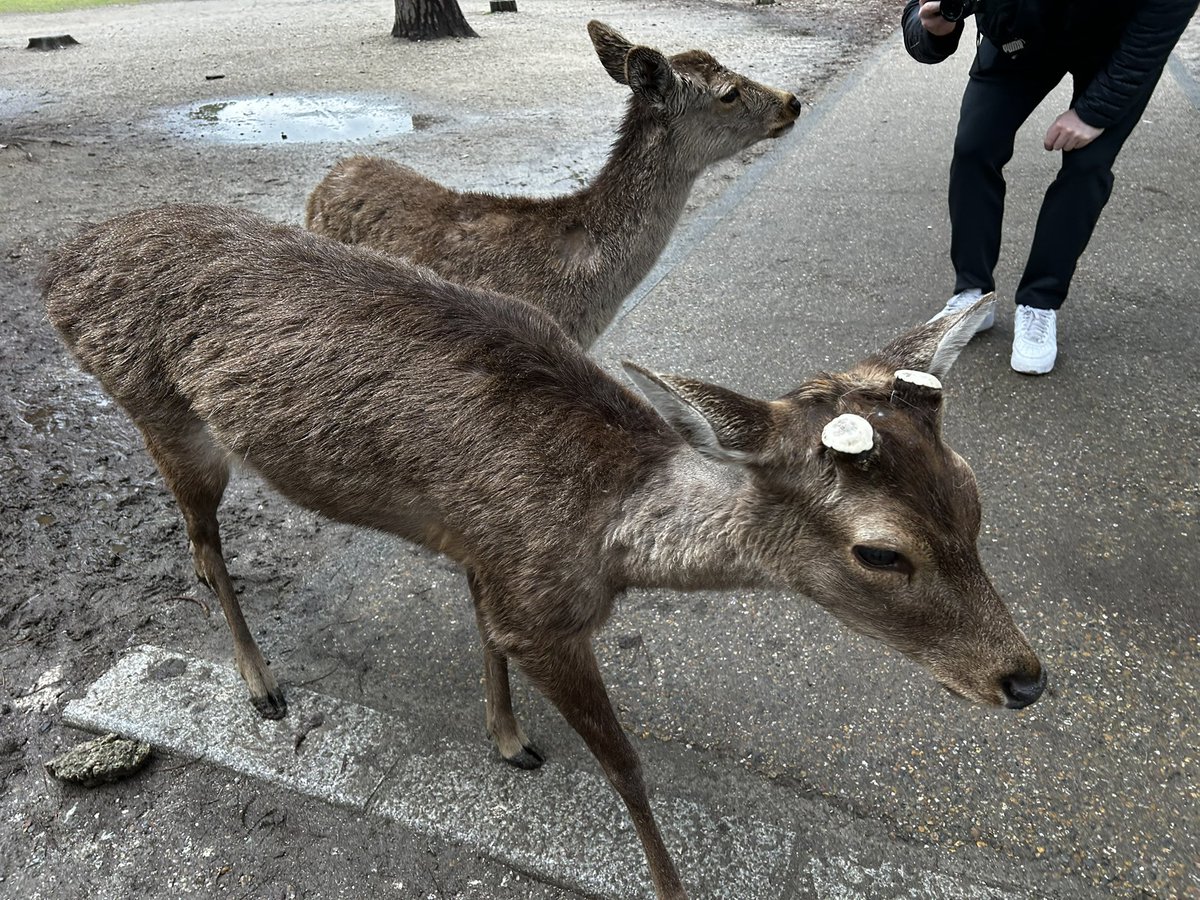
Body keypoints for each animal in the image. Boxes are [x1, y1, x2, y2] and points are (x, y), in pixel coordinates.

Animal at [43, 205, 1045, 900]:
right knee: (203, 544)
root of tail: (62, 267)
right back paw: (261, 687)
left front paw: (510, 741)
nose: (1026, 679)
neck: (606, 539)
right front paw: (667, 883)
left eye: (972, 494)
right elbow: (627, 765)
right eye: (882, 553)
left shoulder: (486, 551)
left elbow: (484, 634)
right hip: (164, 413)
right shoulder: (541, 608)